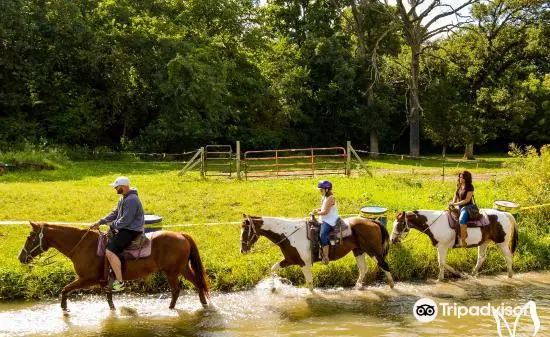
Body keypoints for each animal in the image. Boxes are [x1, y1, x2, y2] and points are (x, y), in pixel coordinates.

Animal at [18, 222, 210, 312]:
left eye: (29, 237)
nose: (21, 257)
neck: (82, 246)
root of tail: (181, 235)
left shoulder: (88, 279)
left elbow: (65, 289)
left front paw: (64, 308)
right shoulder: (103, 282)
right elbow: (109, 299)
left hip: (172, 272)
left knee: (176, 290)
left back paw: (170, 309)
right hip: (183, 268)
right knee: (198, 283)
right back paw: (203, 304)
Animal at [242, 215, 396, 288]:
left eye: (245, 231)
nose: (243, 249)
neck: (288, 234)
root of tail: (373, 221)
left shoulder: (304, 264)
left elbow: (310, 284)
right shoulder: (290, 260)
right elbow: (273, 269)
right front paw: (273, 287)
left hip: (373, 251)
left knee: (384, 265)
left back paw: (392, 286)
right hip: (358, 251)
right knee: (363, 269)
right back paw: (357, 286)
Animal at [390, 209, 520, 280]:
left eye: (399, 225)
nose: (392, 239)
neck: (434, 223)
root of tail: (505, 214)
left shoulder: (442, 247)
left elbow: (441, 263)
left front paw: (440, 278)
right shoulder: (440, 247)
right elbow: (442, 262)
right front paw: (457, 273)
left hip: (502, 242)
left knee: (508, 257)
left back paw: (509, 275)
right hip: (484, 242)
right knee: (481, 258)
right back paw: (473, 273)